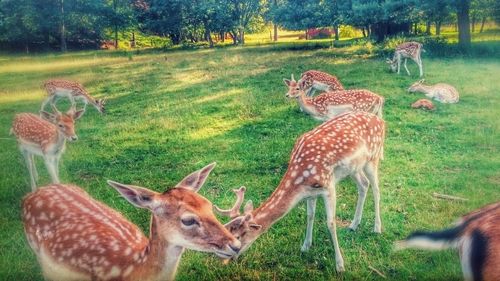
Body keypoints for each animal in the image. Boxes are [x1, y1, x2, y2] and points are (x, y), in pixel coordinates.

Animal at [214, 111, 382, 272]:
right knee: (363, 184)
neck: (300, 179)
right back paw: (354, 224)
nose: (224, 260)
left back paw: (377, 228)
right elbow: (310, 215)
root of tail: (381, 121)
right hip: (354, 168)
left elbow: (330, 223)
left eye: (237, 237)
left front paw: (340, 265)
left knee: (376, 188)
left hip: (373, 158)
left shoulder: (328, 185)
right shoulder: (311, 193)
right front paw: (305, 246)